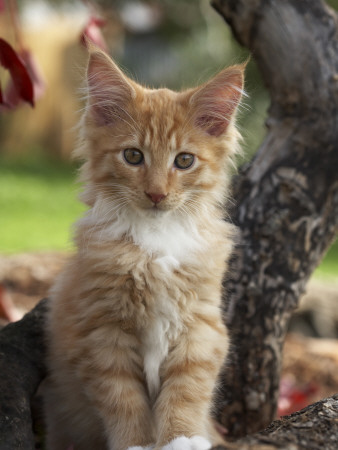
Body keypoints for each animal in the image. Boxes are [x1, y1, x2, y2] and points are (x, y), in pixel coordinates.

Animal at [43, 46, 244, 450]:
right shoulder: (103, 332)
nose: (156, 194)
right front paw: (135, 443)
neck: (156, 237)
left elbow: (186, 392)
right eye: (133, 156)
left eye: (184, 160)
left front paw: (182, 439)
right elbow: (123, 399)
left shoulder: (200, 327)